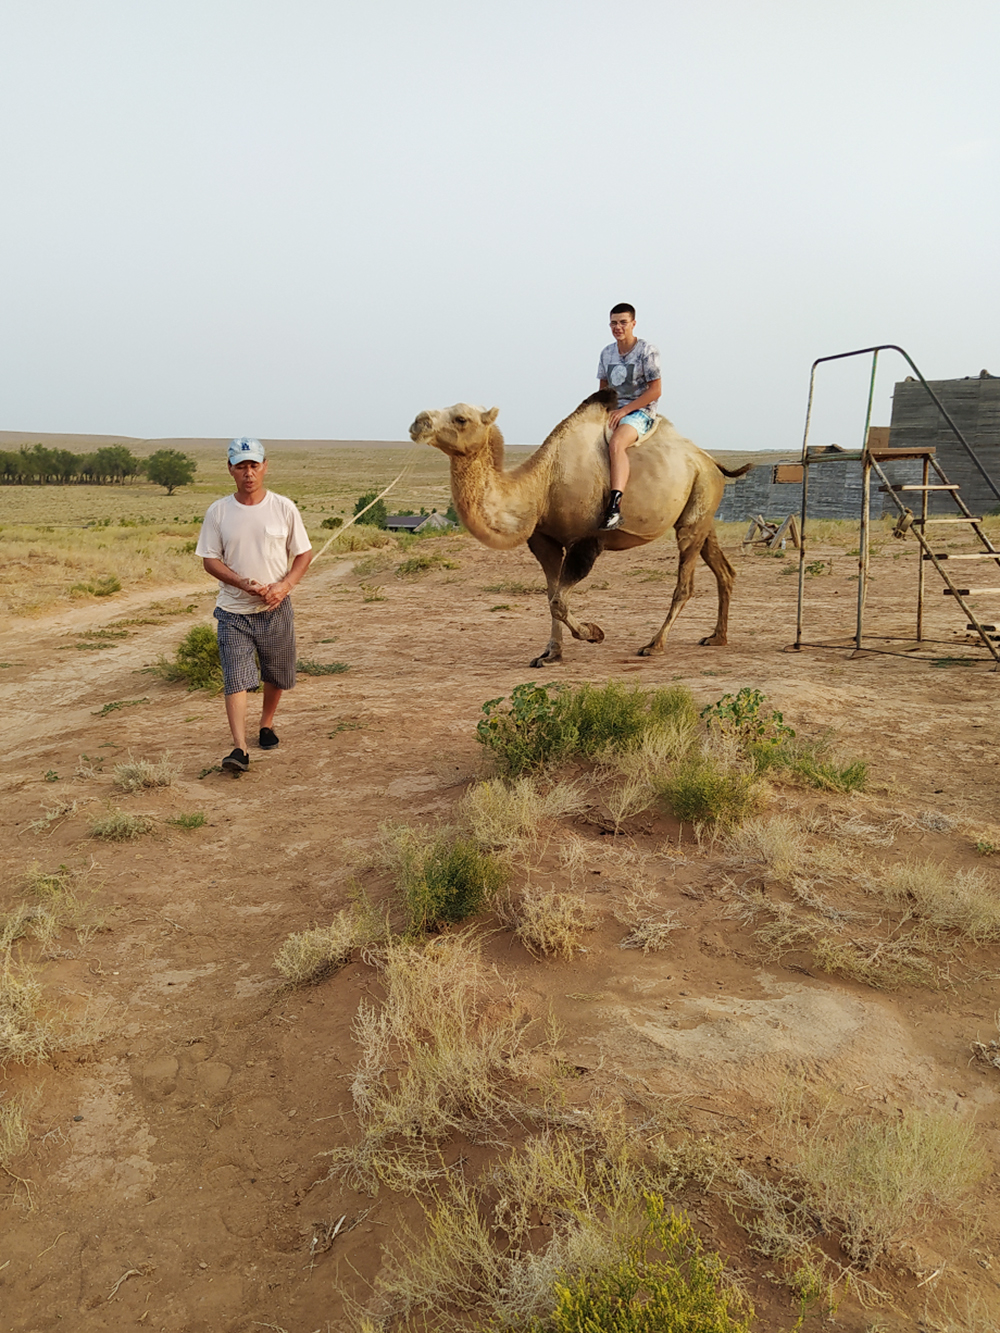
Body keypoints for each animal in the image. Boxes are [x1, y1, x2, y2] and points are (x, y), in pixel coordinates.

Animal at [408, 391, 752, 666]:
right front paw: (551, 654)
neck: (541, 487)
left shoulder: (586, 540)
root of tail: (710, 461)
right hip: (704, 511)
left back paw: (655, 644)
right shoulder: (544, 542)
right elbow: (551, 597)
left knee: (685, 584)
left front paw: (594, 633)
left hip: (696, 507)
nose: (418, 421)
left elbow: (559, 601)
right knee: (724, 570)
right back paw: (717, 637)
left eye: (461, 418)